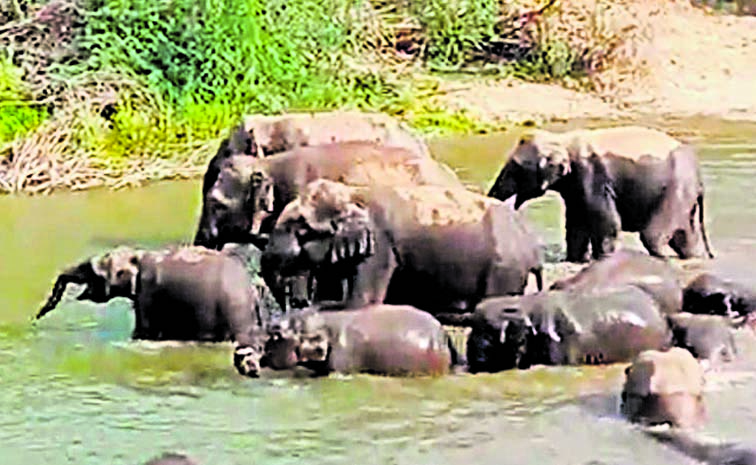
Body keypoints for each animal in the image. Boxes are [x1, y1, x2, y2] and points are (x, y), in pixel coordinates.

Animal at [35, 246, 269, 374]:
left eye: (90, 270)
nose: (37, 316)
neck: (138, 255)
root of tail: (251, 288)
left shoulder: (147, 293)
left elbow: (143, 331)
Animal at [259, 179, 544, 317]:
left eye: (301, 230)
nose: (294, 303)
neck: (352, 194)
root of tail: (532, 246)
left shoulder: (380, 244)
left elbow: (364, 301)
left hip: (504, 268)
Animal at [487, 126, 715, 262]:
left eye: (515, 167)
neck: (563, 139)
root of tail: (700, 179)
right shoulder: (575, 187)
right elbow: (576, 223)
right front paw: (576, 260)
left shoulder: (593, 176)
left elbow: (606, 221)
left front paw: (602, 259)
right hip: (685, 197)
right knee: (687, 237)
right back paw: (698, 258)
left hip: (676, 189)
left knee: (653, 235)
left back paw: (663, 257)